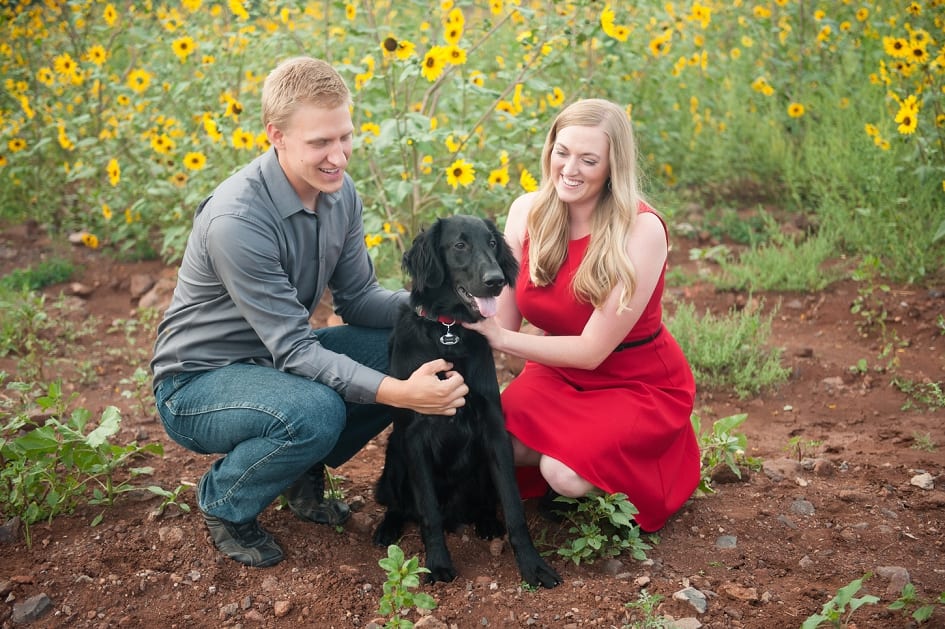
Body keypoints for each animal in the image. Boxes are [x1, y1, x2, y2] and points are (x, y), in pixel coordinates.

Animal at [370, 213, 560, 588]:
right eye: (459, 245)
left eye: (492, 243)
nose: (496, 281)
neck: (449, 332)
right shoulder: (414, 435)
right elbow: (428, 512)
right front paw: (438, 563)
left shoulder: (494, 430)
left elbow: (514, 508)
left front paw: (533, 566)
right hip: (395, 453)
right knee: (401, 505)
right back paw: (388, 527)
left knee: (485, 504)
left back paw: (487, 522)